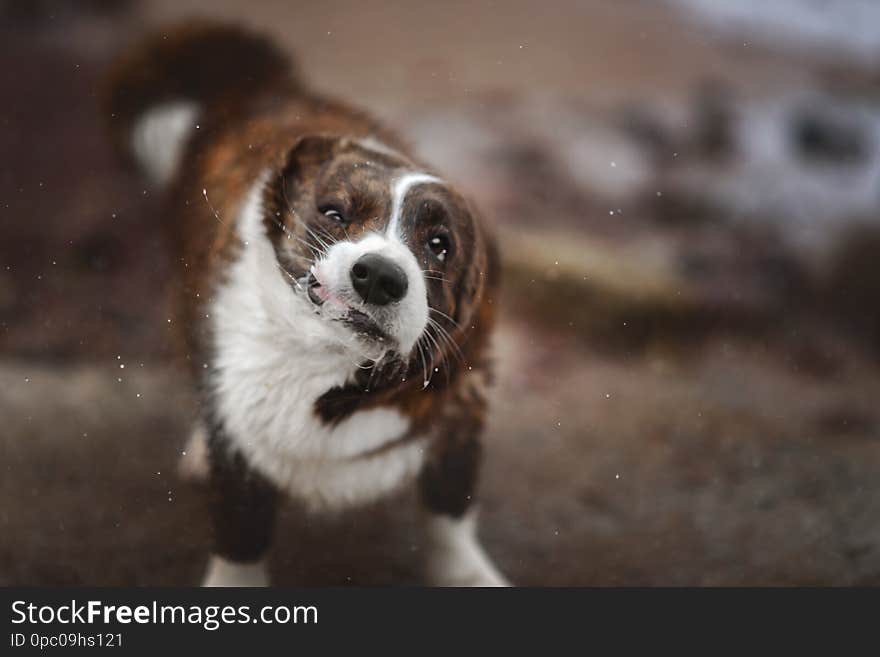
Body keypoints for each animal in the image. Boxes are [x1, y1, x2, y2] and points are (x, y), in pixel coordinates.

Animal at [104, 20, 506, 584]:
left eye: (440, 243)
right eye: (334, 213)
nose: (379, 277)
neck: (332, 361)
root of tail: (258, 84)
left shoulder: (461, 418)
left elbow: (450, 512)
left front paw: (468, 574)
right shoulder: (240, 450)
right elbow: (242, 531)